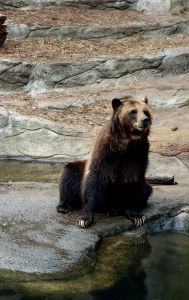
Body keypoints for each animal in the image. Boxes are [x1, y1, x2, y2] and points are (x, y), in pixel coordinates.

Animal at [56, 96, 153, 227]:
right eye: (133, 111)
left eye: (145, 111)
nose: (145, 120)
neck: (128, 143)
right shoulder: (106, 151)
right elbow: (94, 178)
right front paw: (85, 218)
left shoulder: (138, 154)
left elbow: (131, 181)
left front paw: (136, 216)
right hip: (80, 172)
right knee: (69, 174)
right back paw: (64, 206)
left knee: (146, 190)